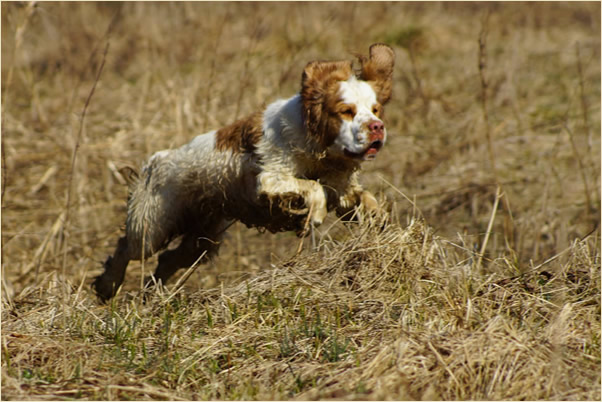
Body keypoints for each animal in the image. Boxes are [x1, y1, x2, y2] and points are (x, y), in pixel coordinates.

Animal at [91, 44, 394, 302]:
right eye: (346, 111)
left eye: (376, 109)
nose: (377, 127)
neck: (315, 145)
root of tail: (155, 161)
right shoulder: (270, 179)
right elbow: (313, 189)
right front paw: (311, 218)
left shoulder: (340, 188)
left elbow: (362, 199)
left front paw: (379, 221)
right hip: (153, 226)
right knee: (126, 247)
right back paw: (108, 286)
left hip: (202, 240)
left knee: (167, 260)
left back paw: (153, 294)